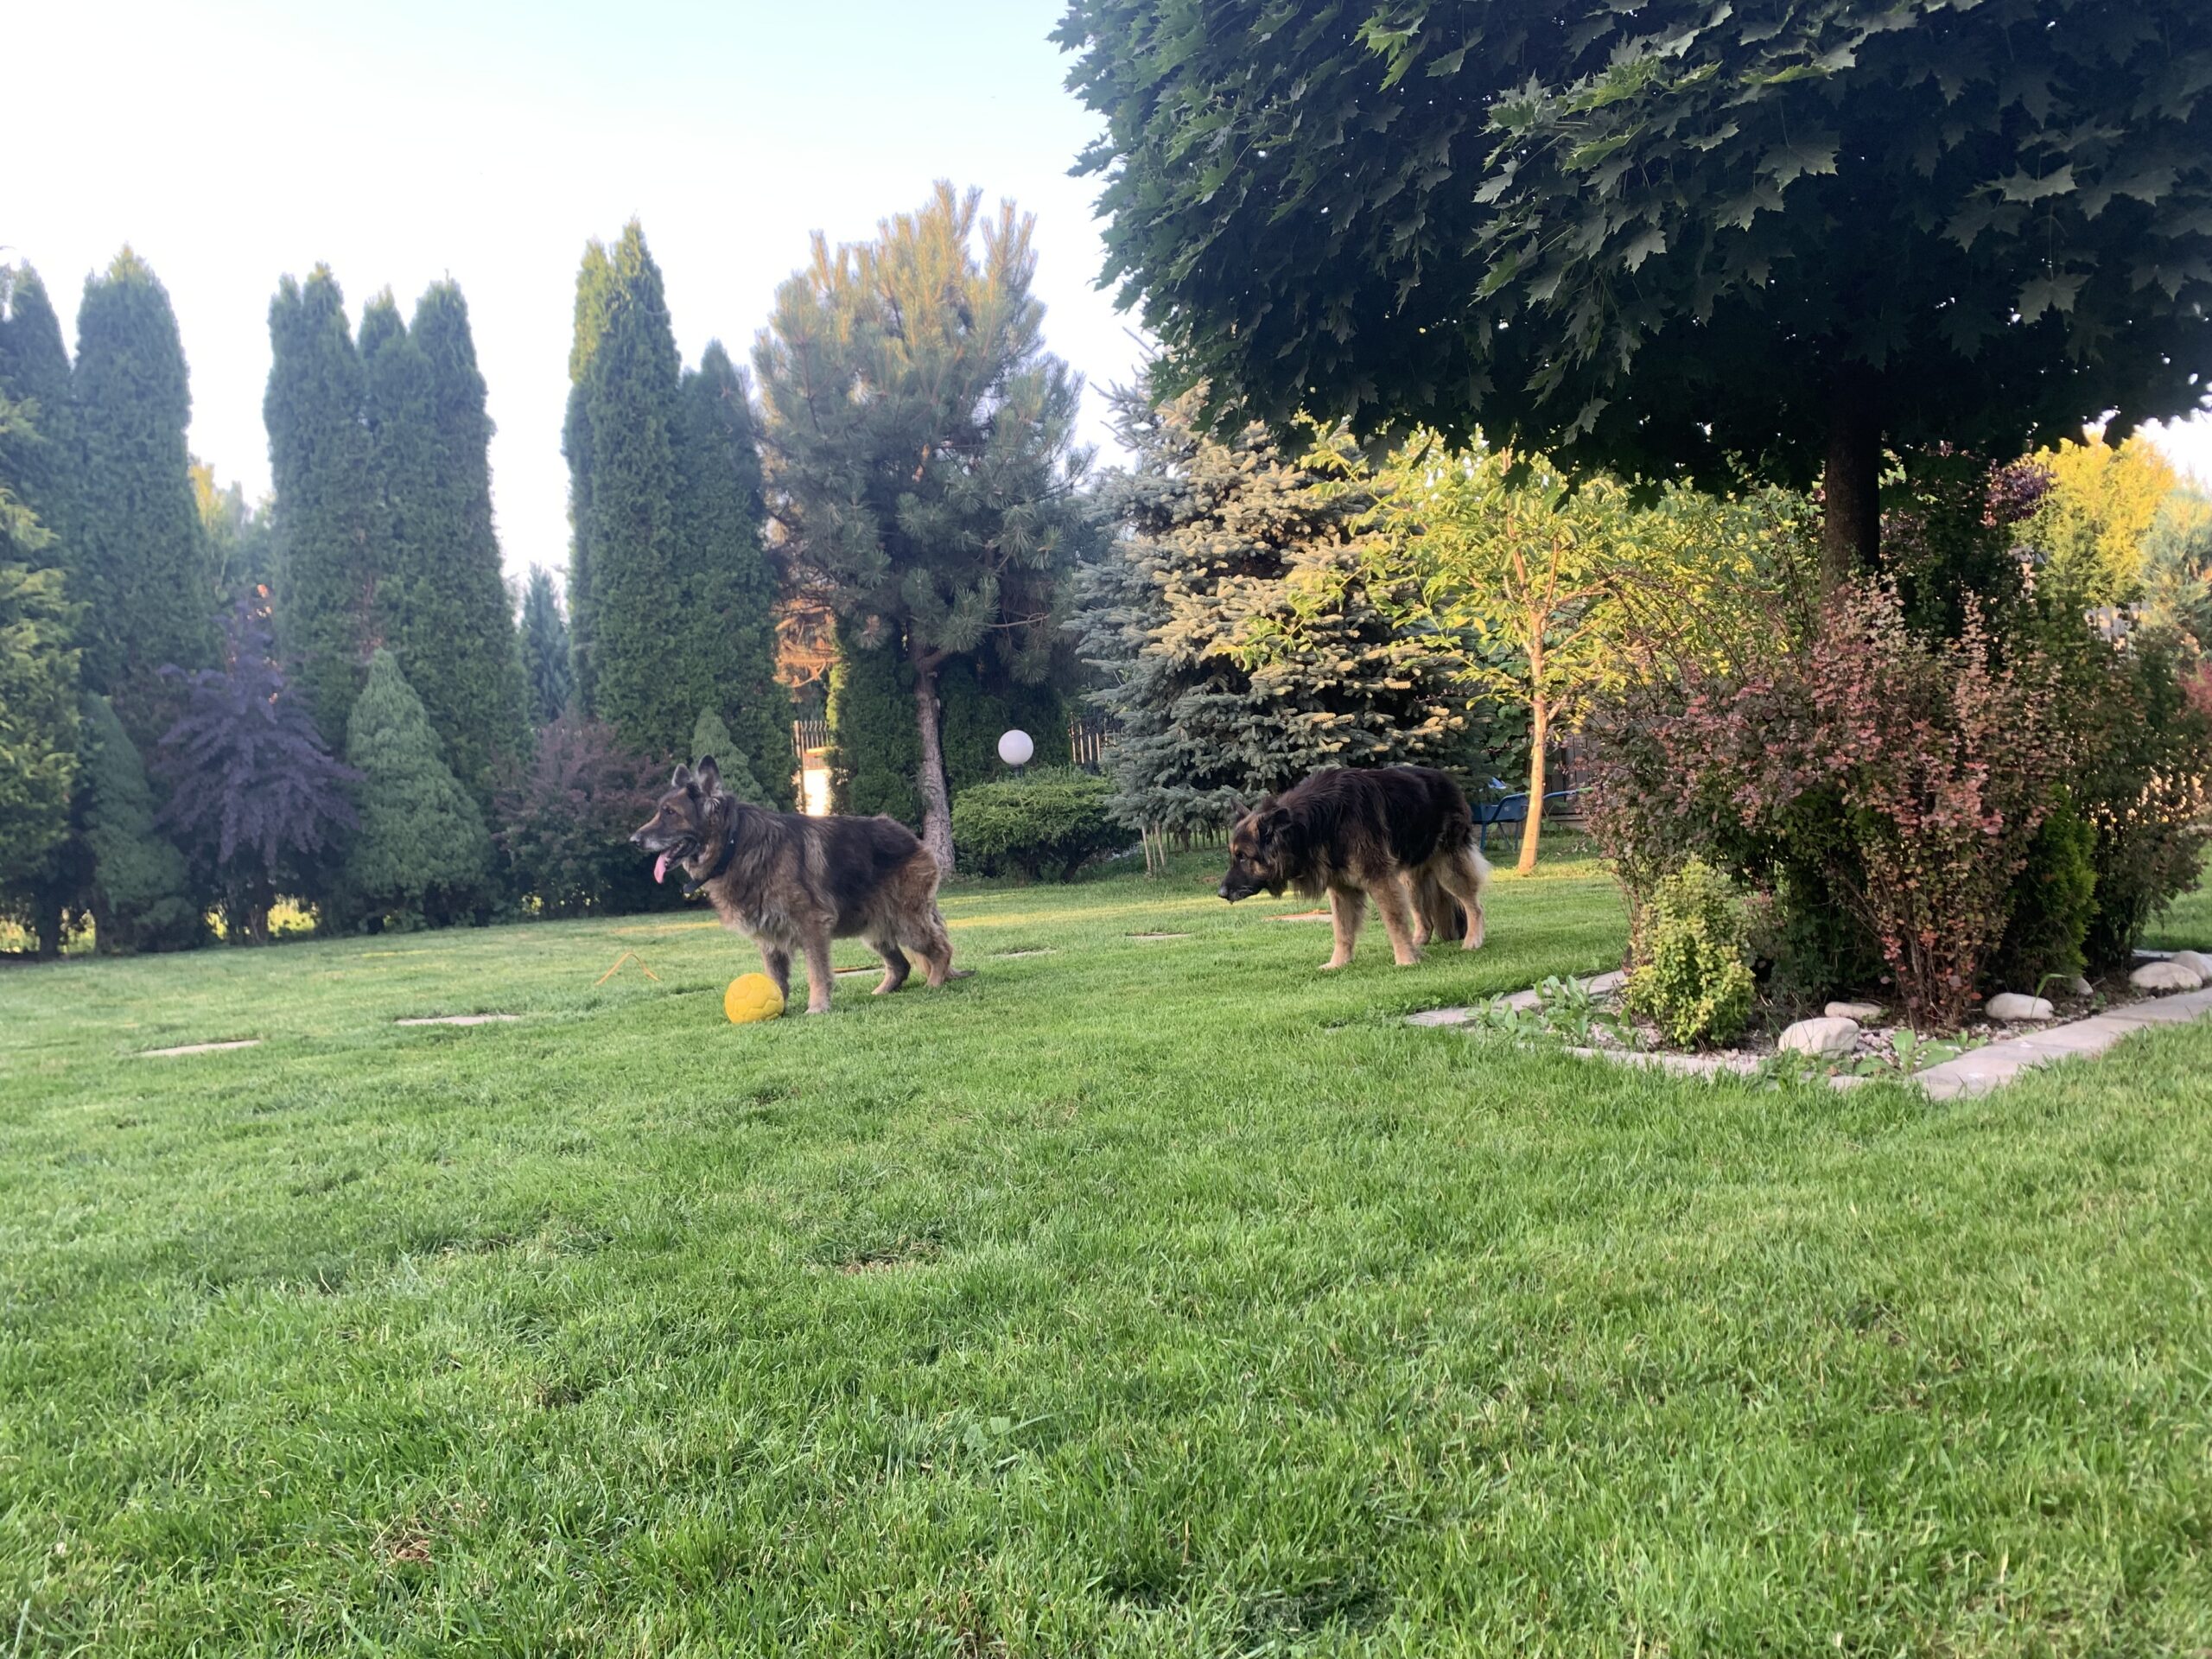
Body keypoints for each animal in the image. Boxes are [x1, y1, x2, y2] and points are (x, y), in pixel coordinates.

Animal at [631, 757, 955, 1014]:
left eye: (670, 813)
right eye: (660, 811)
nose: (633, 840)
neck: (735, 844)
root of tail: (912, 838)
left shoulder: (812, 926)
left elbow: (817, 972)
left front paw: (818, 1006)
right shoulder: (769, 937)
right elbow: (776, 979)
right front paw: (778, 1007)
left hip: (906, 922)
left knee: (941, 949)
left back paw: (935, 983)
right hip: (874, 928)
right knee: (901, 965)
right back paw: (883, 990)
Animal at [1217, 765, 1489, 968]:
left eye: (1243, 857)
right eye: (1234, 856)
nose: (1221, 893)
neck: (1318, 823)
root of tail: (1447, 779)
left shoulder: (1379, 880)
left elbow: (1393, 921)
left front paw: (1405, 959)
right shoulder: (1341, 888)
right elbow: (1341, 929)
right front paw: (1338, 963)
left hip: (1448, 867)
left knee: (1474, 905)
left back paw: (1472, 940)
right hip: (1409, 878)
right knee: (1423, 916)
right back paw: (1419, 941)